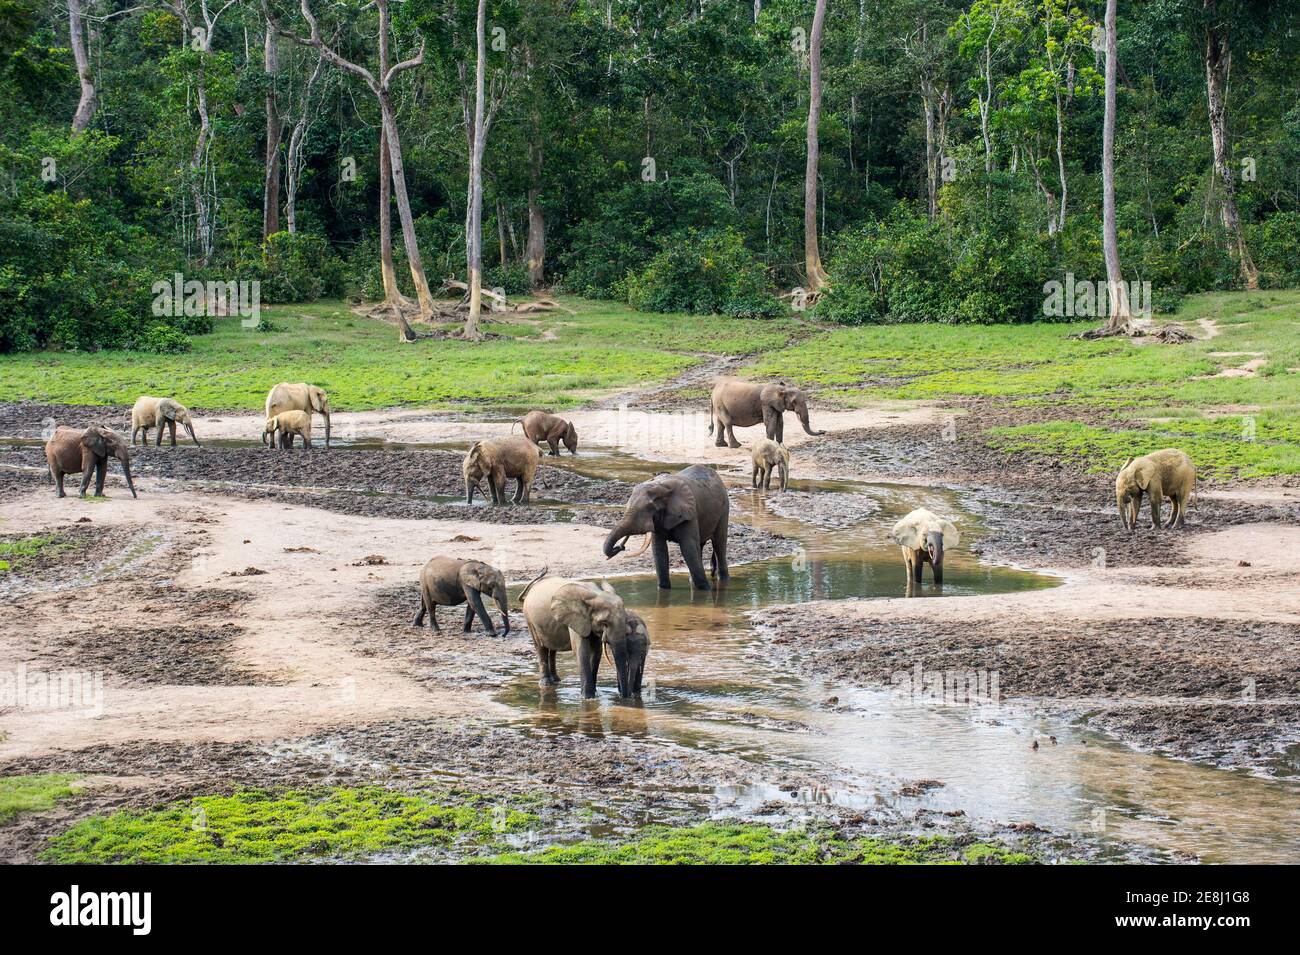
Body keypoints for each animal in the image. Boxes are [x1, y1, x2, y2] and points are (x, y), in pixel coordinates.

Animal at [512, 574, 644, 701]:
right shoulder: (576, 618)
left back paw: (556, 680)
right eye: (604, 623)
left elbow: (596, 652)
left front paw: (594, 695)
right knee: (540, 647)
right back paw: (546, 684)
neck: (596, 595)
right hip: (530, 620)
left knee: (553, 649)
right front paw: (587, 698)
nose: (624, 697)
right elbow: (582, 651)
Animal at [600, 462, 728, 589]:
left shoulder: (689, 514)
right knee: (701, 545)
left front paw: (705, 589)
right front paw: (663, 589)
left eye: (649, 508)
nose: (620, 547)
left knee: (718, 544)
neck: (661, 488)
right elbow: (659, 550)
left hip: (724, 507)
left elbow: (688, 548)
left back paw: (723, 580)